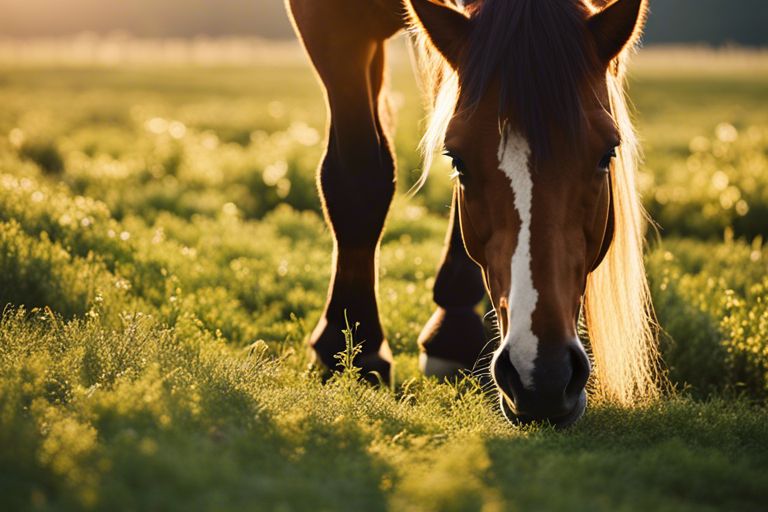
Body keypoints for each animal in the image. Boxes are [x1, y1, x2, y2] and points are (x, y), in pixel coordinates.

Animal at [285, 0, 661, 427]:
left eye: (607, 153)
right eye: (457, 160)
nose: (544, 377)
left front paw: (452, 332)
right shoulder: (332, 22)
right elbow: (358, 178)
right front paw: (352, 347)